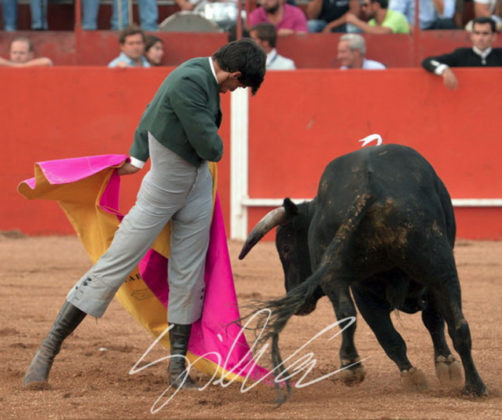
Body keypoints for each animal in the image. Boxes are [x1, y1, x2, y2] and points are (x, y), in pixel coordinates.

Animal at [239, 144, 486, 400]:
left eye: (286, 248)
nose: (298, 300)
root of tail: (368, 189)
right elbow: (419, 326)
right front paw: (440, 368)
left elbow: (423, 324)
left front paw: (443, 367)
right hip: (439, 270)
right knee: (457, 326)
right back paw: (473, 386)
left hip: (349, 276)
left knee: (350, 313)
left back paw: (352, 367)